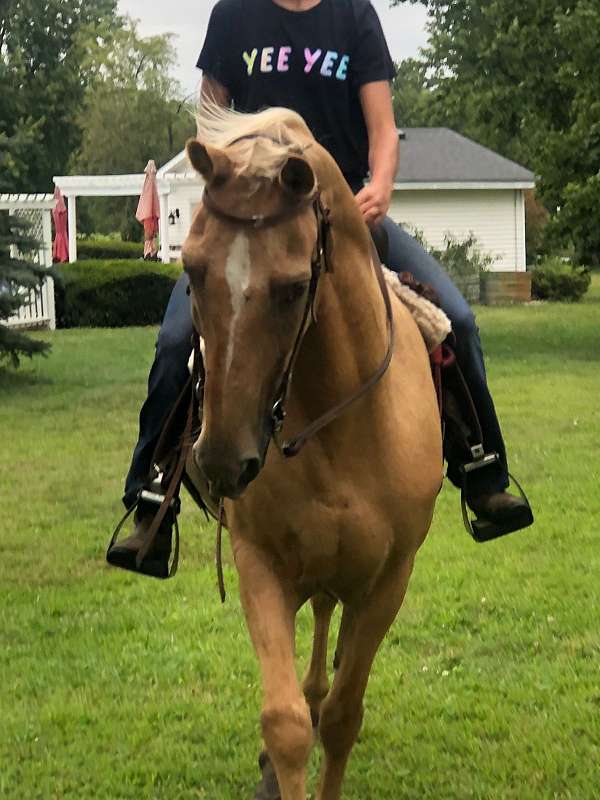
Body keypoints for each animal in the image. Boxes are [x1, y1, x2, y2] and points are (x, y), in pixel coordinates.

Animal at [182, 106, 440, 800]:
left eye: (294, 288)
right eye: (190, 270)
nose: (223, 462)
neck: (337, 429)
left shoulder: (389, 580)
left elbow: (345, 714)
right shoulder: (258, 563)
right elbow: (288, 723)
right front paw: (280, 758)